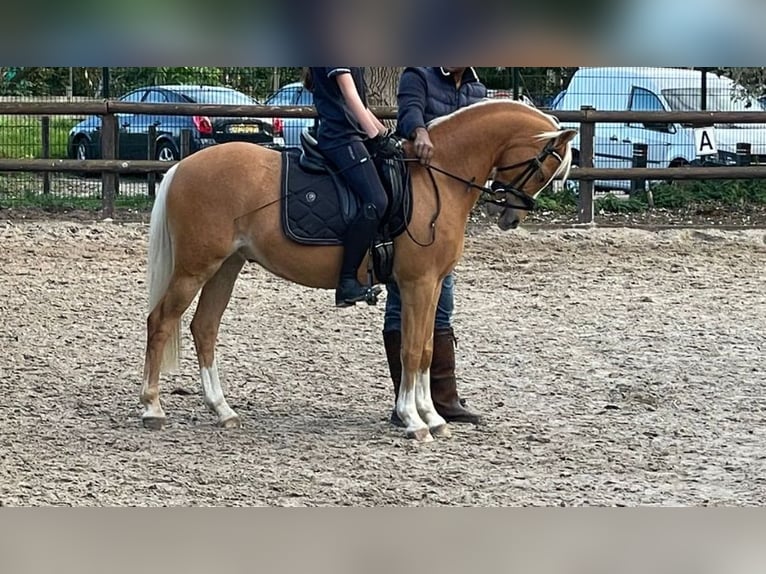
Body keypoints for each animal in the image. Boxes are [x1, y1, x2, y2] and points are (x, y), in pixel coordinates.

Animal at [140, 99, 576, 443]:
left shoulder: (432, 284)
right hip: (196, 267)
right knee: (160, 321)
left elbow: (426, 348)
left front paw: (432, 416)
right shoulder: (417, 284)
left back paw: (223, 410)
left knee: (204, 328)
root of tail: (182, 166)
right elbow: (411, 348)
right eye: (545, 167)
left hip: (225, 267)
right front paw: (414, 421)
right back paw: (152, 408)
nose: (512, 218)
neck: (435, 178)